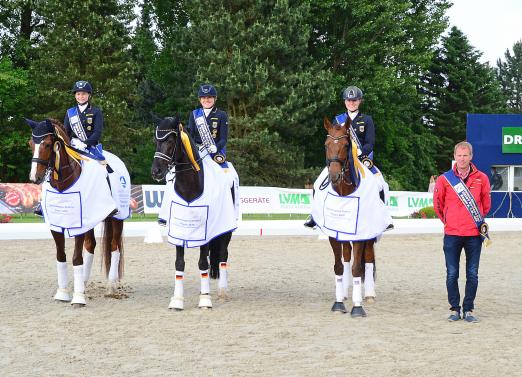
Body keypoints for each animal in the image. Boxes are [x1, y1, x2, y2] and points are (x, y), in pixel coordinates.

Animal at [27, 119, 126, 306]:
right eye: (31, 144)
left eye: (48, 144)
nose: (34, 178)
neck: (63, 184)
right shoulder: (56, 225)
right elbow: (61, 256)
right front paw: (63, 293)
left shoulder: (78, 225)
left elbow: (76, 258)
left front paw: (78, 297)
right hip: (90, 220)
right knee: (91, 245)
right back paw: (84, 283)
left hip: (118, 217)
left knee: (114, 246)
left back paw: (110, 286)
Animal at [149, 116, 233, 310]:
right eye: (156, 141)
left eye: (171, 141)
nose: (156, 171)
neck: (190, 186)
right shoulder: (178, 230)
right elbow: (179, 263)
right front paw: (177, 300)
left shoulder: (205, 231)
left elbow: (203, 262)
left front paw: (205, 300)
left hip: (226, 229)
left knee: (223, 255)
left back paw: (222, 291)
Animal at [320, 118, 374, 318]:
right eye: (326, 144)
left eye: (345, 145)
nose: (334, 175)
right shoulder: (333, 235)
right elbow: (339, 266)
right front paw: (338, 302)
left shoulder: (360, 235)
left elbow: (357, 267)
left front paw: (357, 307)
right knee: (346, 257)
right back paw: (344, 292)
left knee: (368, 259)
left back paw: (369, 295)